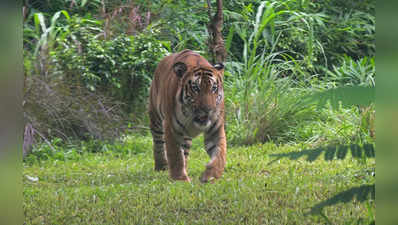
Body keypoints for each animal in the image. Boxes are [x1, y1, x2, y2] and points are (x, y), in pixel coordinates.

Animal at [148, 49, 225, 183]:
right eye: (196, 88)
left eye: (214, 88)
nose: (208, 110)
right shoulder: (171, 128)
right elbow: (175, 155)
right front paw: (180, 179)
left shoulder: (216, 128)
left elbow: (220, 154)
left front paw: (210, 176)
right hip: (155, 117)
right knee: (158, 143)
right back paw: (161, 166)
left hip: (186, 136)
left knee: (185, 151)